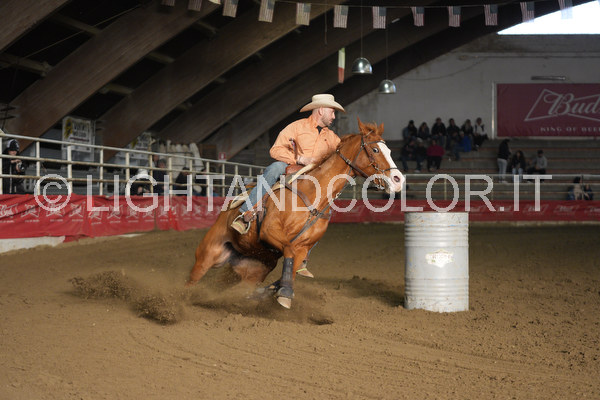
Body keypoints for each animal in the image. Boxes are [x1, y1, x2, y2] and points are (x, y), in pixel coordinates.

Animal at [185, 119, 405, 308]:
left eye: (389, 149)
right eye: (375, 149)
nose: (398, 179)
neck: (314, 195)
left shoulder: (303, 248)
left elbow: (291, 269)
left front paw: (279, 292)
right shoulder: (270, 231)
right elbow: (288, 250)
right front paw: (282, 294)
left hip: (251, 268)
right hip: (207, 255)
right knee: (192, 281)